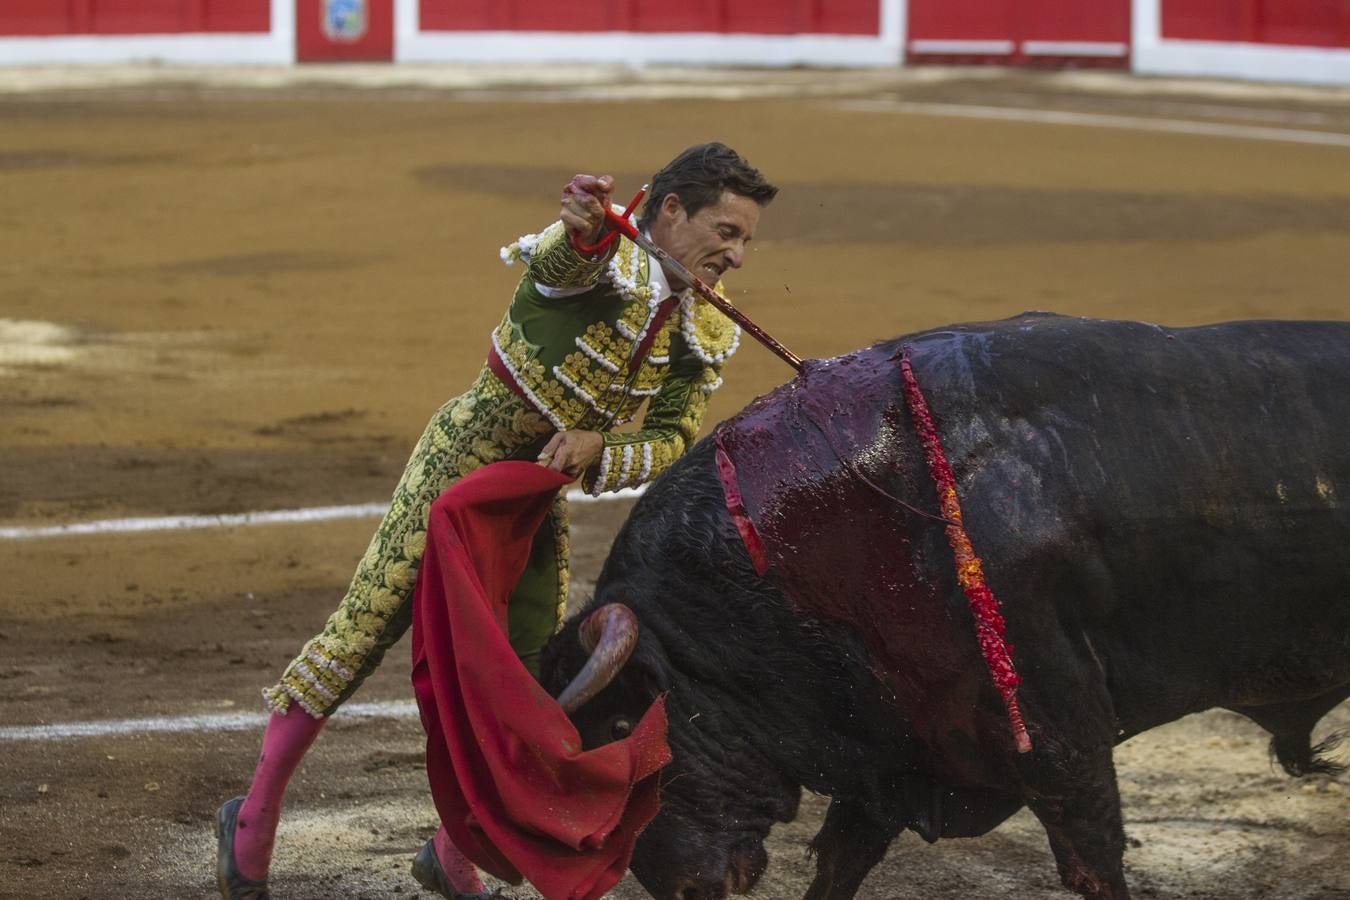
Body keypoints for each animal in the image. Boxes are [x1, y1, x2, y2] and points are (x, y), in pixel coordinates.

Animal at [537, 317, 1350, 900]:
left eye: (620, 725)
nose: (678, 886)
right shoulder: (891, 750)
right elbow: (841, 861)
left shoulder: (1062, 744)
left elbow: (1095, 864)